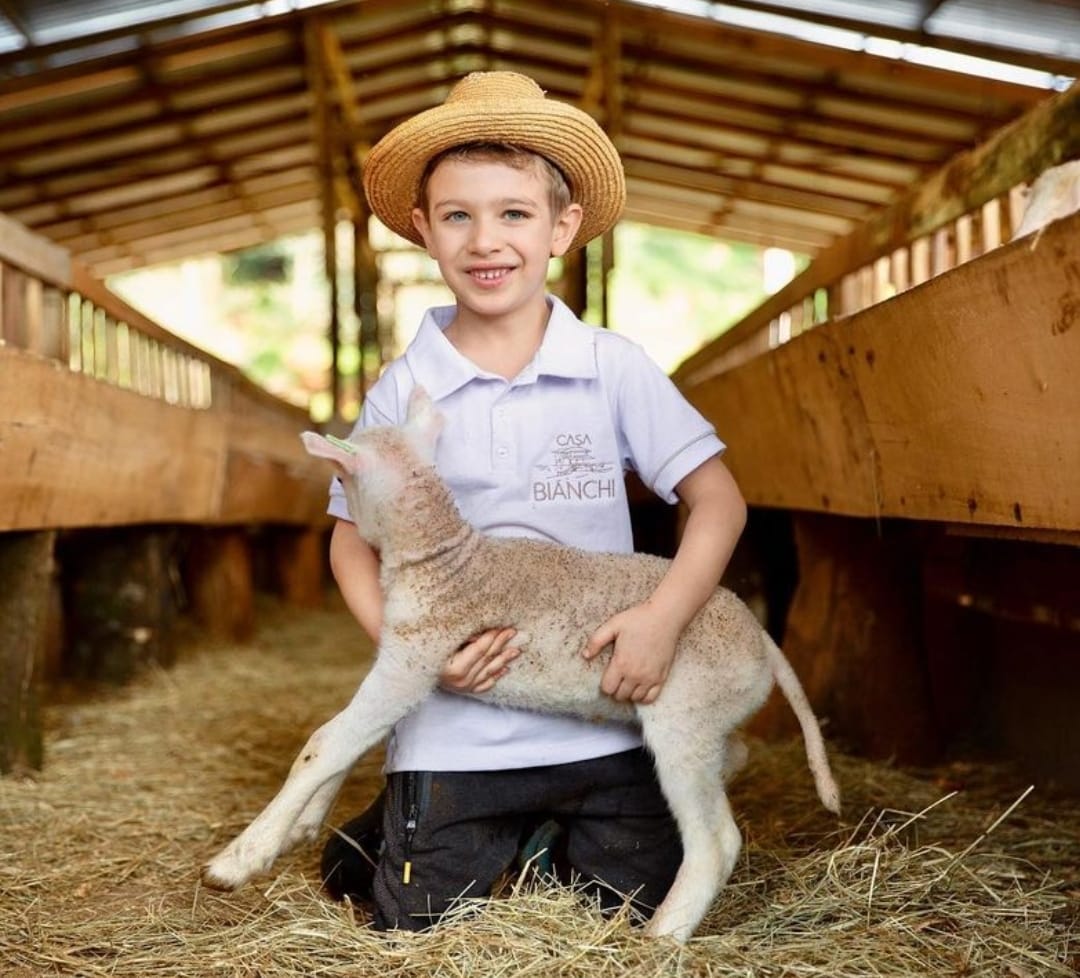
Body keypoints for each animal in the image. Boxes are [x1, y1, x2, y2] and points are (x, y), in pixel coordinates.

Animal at [204, 386, 842, 936]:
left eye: (341, 475)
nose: (340, 514)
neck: (445, 559)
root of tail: (763, 641)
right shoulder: (404, 664)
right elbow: (347, 742)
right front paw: (303, 825)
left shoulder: (414, 658)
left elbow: (325, 743)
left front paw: (238, 860)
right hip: (708, 718)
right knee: (735, 755)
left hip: (684, 714)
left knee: (714, 842)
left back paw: (659, 937)